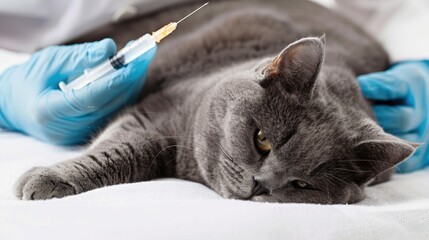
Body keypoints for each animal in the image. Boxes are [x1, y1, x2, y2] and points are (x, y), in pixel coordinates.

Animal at [14, 0, 414, 203]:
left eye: (304, 185)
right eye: (262, 139)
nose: (261, 185)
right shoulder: (159, 108)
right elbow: (118, 149)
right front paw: (49, 177)